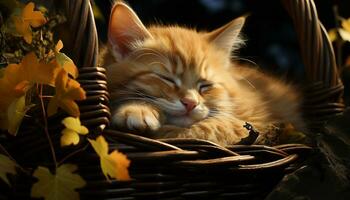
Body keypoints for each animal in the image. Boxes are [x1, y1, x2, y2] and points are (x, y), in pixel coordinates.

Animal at [100, 1, 304, 145]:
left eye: (205, 85)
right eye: (167, 79)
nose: (190, 103)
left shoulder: (255, 122)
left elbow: (203, 130)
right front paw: (137, 109)